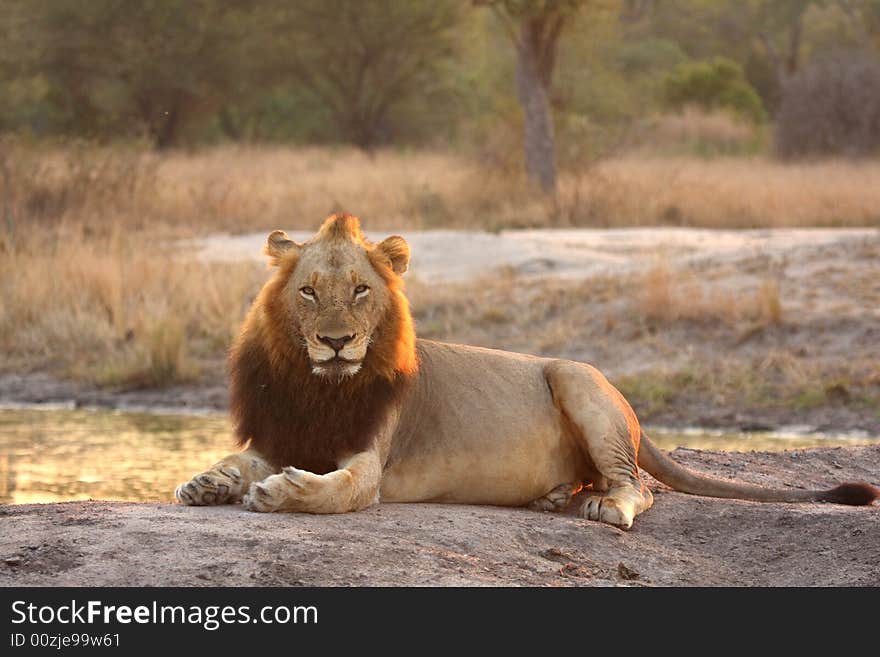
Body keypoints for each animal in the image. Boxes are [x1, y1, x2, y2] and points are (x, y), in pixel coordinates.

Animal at [174, 215, 880, 528]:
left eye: (360, 291)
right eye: (309, 292)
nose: (337, 342)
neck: (318, 387)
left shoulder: (370, 463)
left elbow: (340, 489)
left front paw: (283, 494)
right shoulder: (280, 435)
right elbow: (237, 461)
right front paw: (206, 483)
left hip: (576, 378)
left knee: (641, 487)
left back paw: (605, 506)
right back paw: (552, 494)